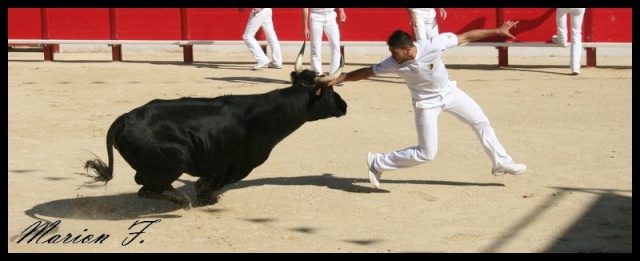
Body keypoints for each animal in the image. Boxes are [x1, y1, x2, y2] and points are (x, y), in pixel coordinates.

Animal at [84, 43, 348, 209]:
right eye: (329, 91)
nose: (344, 106)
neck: (271, 114)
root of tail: (125, 118)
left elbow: (206, 181)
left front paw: (203, 195)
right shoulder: (240, 167)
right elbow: (212, 183)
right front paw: (205, 198)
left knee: (146, 184)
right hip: (176, 161)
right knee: (146, 188)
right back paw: (181, 201)